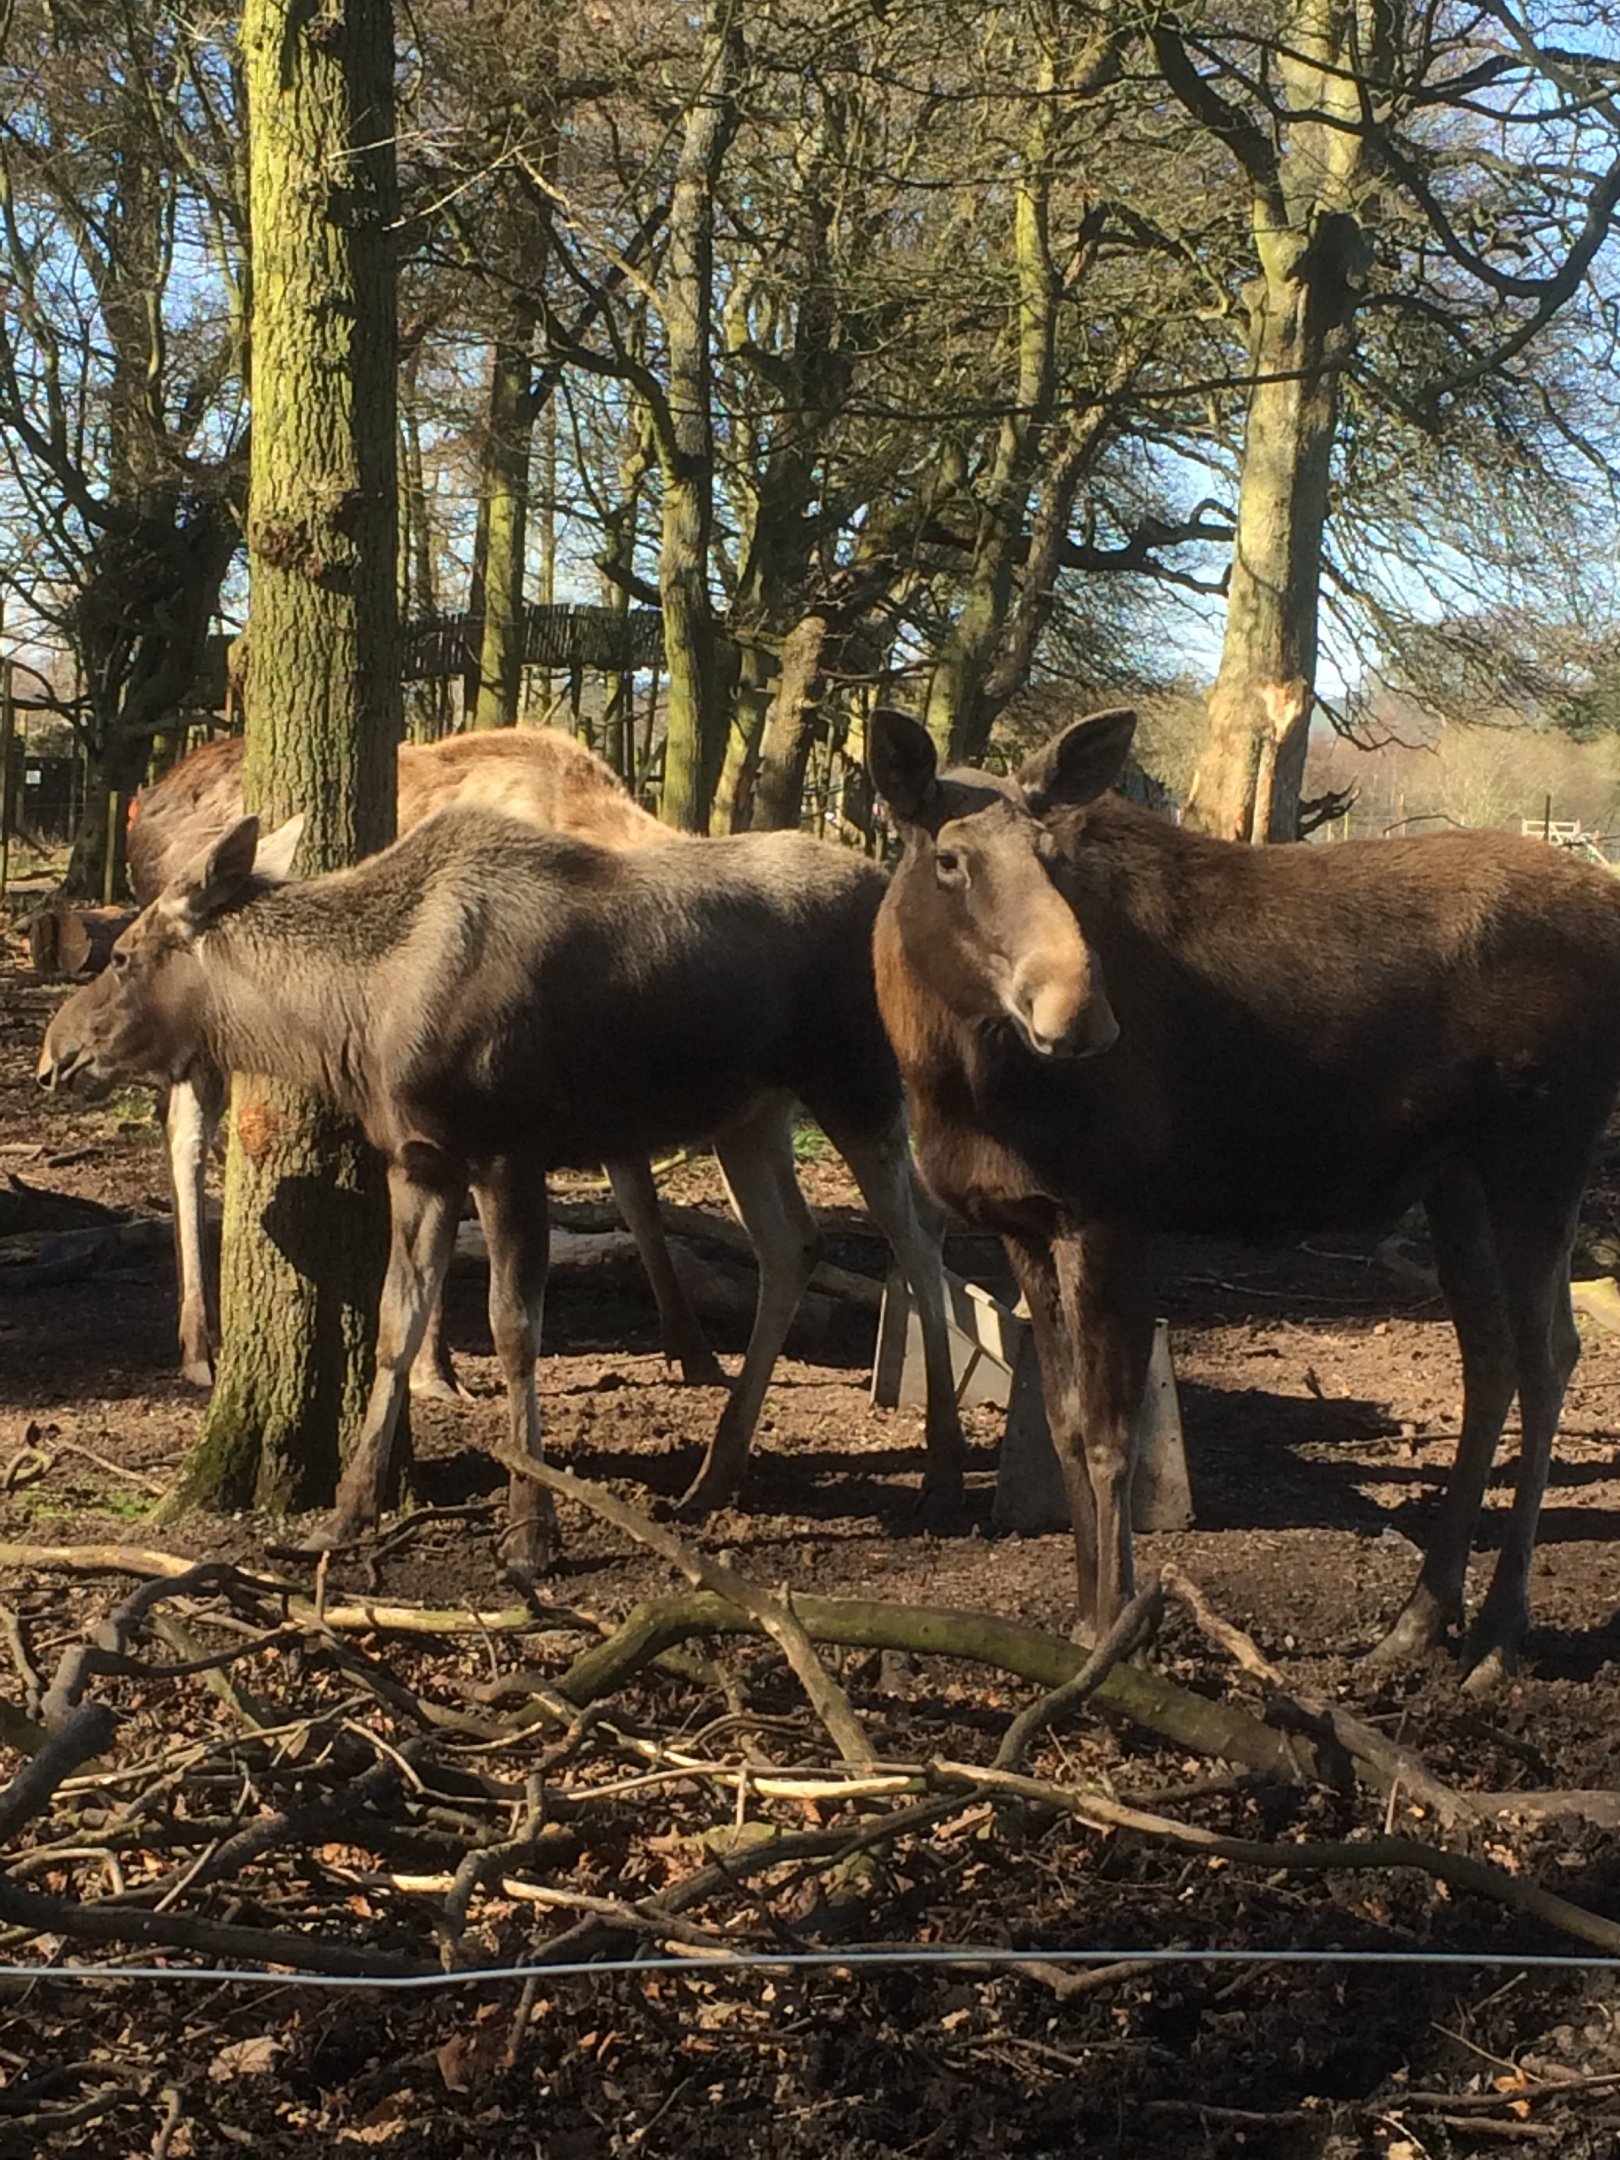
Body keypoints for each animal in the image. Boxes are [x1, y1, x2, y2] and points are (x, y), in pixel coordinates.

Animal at [40, 805, 967, 1568]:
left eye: (123, 956)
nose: (56, 1054)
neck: (354, 1018)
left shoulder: (507, 1155)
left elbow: (515, 1331)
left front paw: (530, 1530)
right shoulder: (420, 1162)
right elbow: (396, 1323)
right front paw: (344, 1514)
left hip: (860, 1085)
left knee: (922, 1248)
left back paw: (945, 1478)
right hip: (751, 1111)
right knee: (792, 1245)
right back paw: (713, 1477)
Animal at [122, 728, 742, 1399]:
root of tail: (142, 811)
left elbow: (640, 1199)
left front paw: (696, 1352)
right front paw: (432, 1369)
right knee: (184, 1134)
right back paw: (198, 1342)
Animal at [867, 703, 1620, 1689]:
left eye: (1054, 856)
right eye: (950, 859)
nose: (1081, 1014)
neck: (952, 1077)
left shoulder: (1109, 1210)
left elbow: (1112, 1435)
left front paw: (1113, 1635)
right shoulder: (1023, 1224)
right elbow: (1062, 1425)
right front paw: (1079, 1621)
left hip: (1540, 1156)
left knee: (1550, 1357)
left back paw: (1495, 1636)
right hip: (1455, 1181)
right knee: (1490, 1359)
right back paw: (1419, 1619)